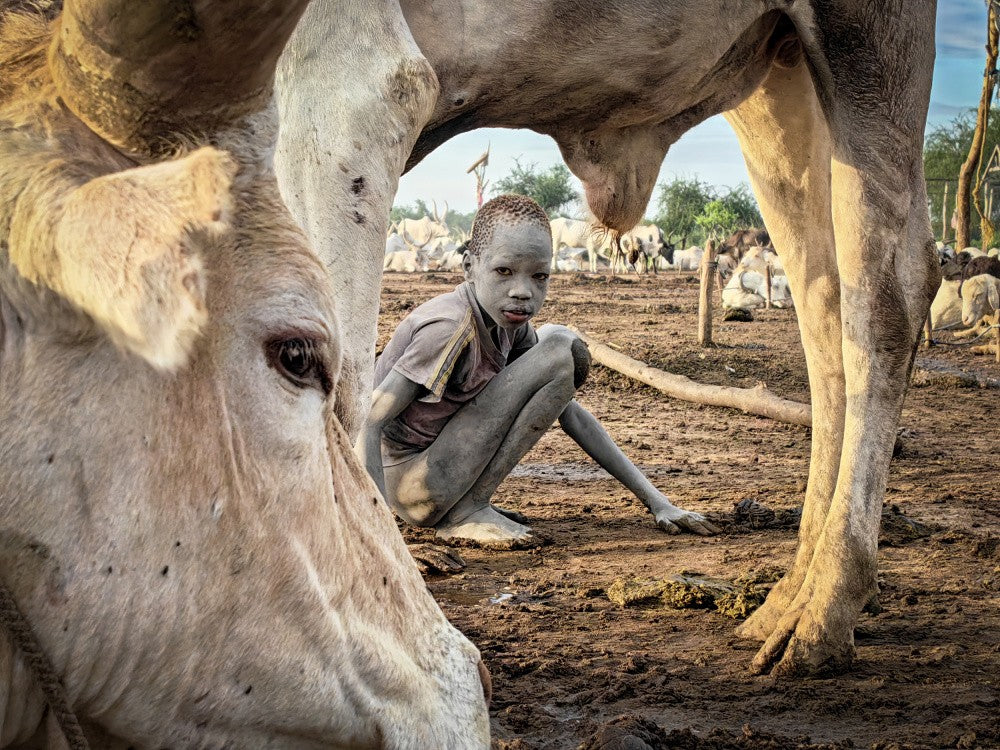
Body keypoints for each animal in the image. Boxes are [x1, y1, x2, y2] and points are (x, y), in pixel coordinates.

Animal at [275, 0, 939, 679]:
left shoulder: (354, 83)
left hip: (868, 38)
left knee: (889, 290)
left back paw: (824, 611)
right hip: (780, 78)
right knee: (822, 302)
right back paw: (787, 596)